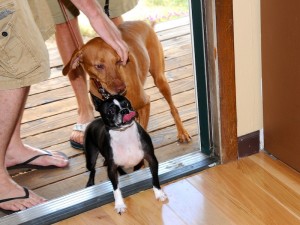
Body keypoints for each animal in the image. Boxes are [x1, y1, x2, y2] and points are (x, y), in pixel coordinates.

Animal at [62, 20, 191, 142]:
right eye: (99, 66)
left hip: (160, 80)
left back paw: (182, 132)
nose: (122, 89)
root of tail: (143, 22)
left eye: (118, 61)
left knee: (173, 108)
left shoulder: (145, 103)